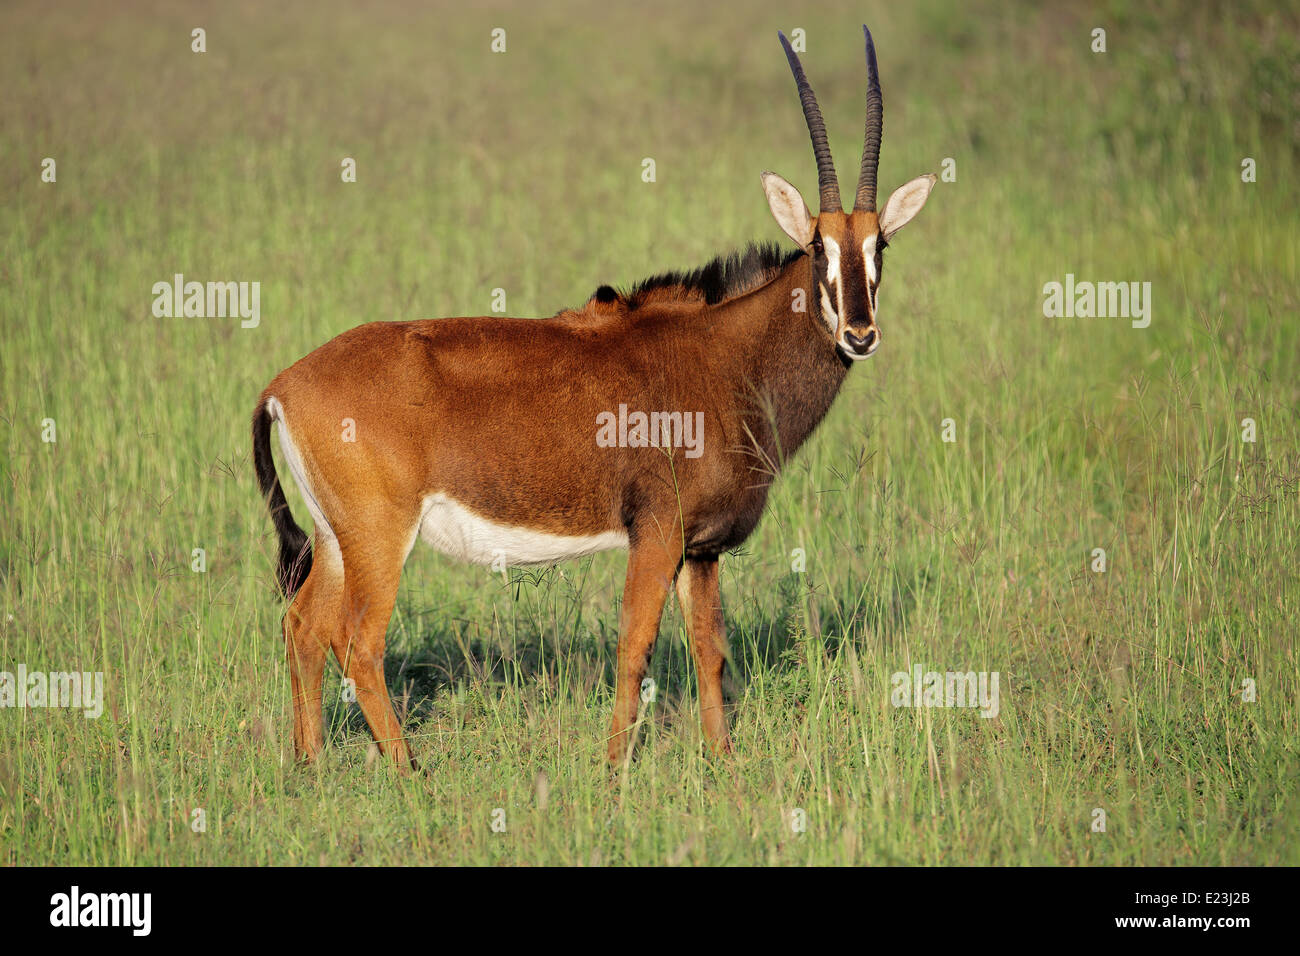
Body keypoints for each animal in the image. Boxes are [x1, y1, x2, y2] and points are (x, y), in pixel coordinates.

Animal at [250, 26, 935, 770]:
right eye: (817, 247)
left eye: (880, 245)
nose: (859, 334)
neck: (725, 354)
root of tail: (282, 386)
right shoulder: (657, 533)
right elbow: (635, 648)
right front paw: (614, 770)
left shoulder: (701, 549)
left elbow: (710, 651)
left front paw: (723, 762)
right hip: (379, 537)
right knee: (359, 643)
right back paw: (410, 773)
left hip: (335, 539)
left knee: (303, 624)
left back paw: (312, 766)